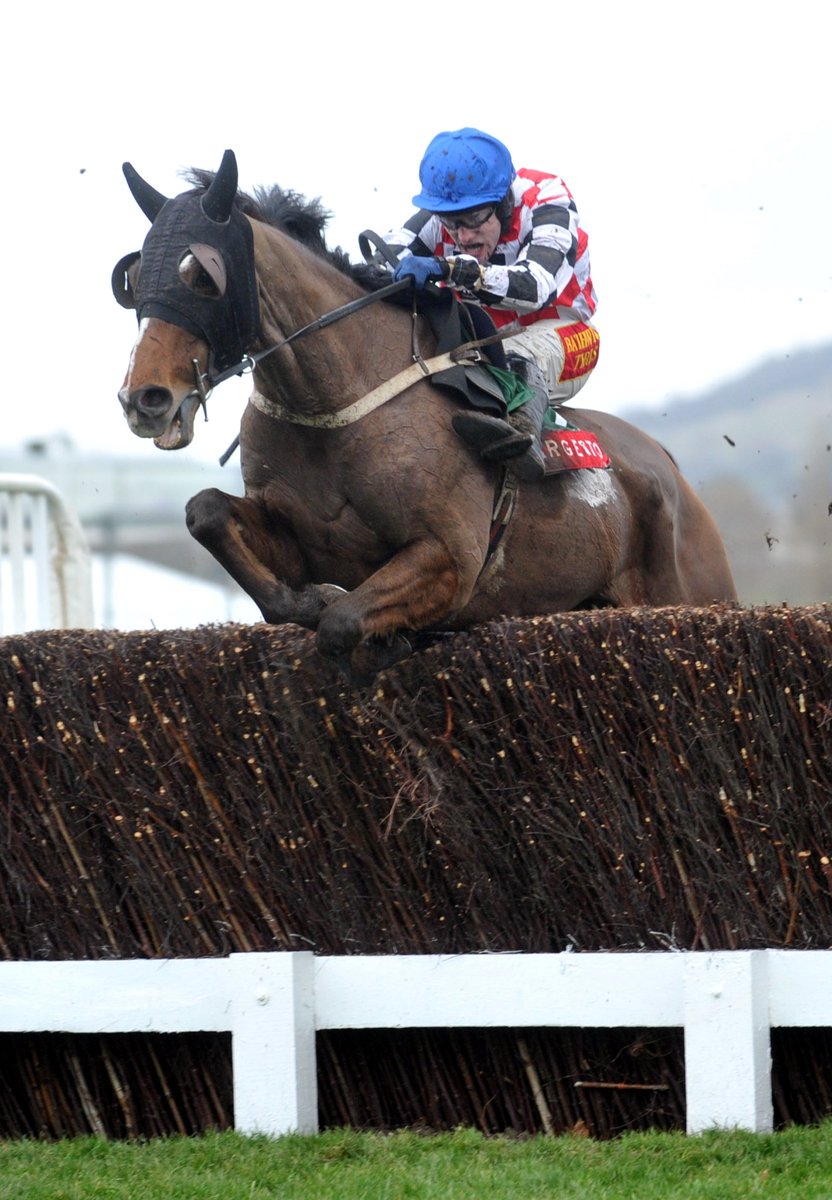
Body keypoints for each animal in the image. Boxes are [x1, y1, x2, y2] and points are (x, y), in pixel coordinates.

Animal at [112, 147, 734, 686]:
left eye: (202, 275)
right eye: (134, 279)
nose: (144, 398)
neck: (332, 406)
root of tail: (668, 467)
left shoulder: (450, 560)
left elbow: (341, 624)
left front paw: (373, 639)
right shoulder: (301, 541)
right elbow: (208, 515)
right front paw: (306, 601)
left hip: (692, 590)